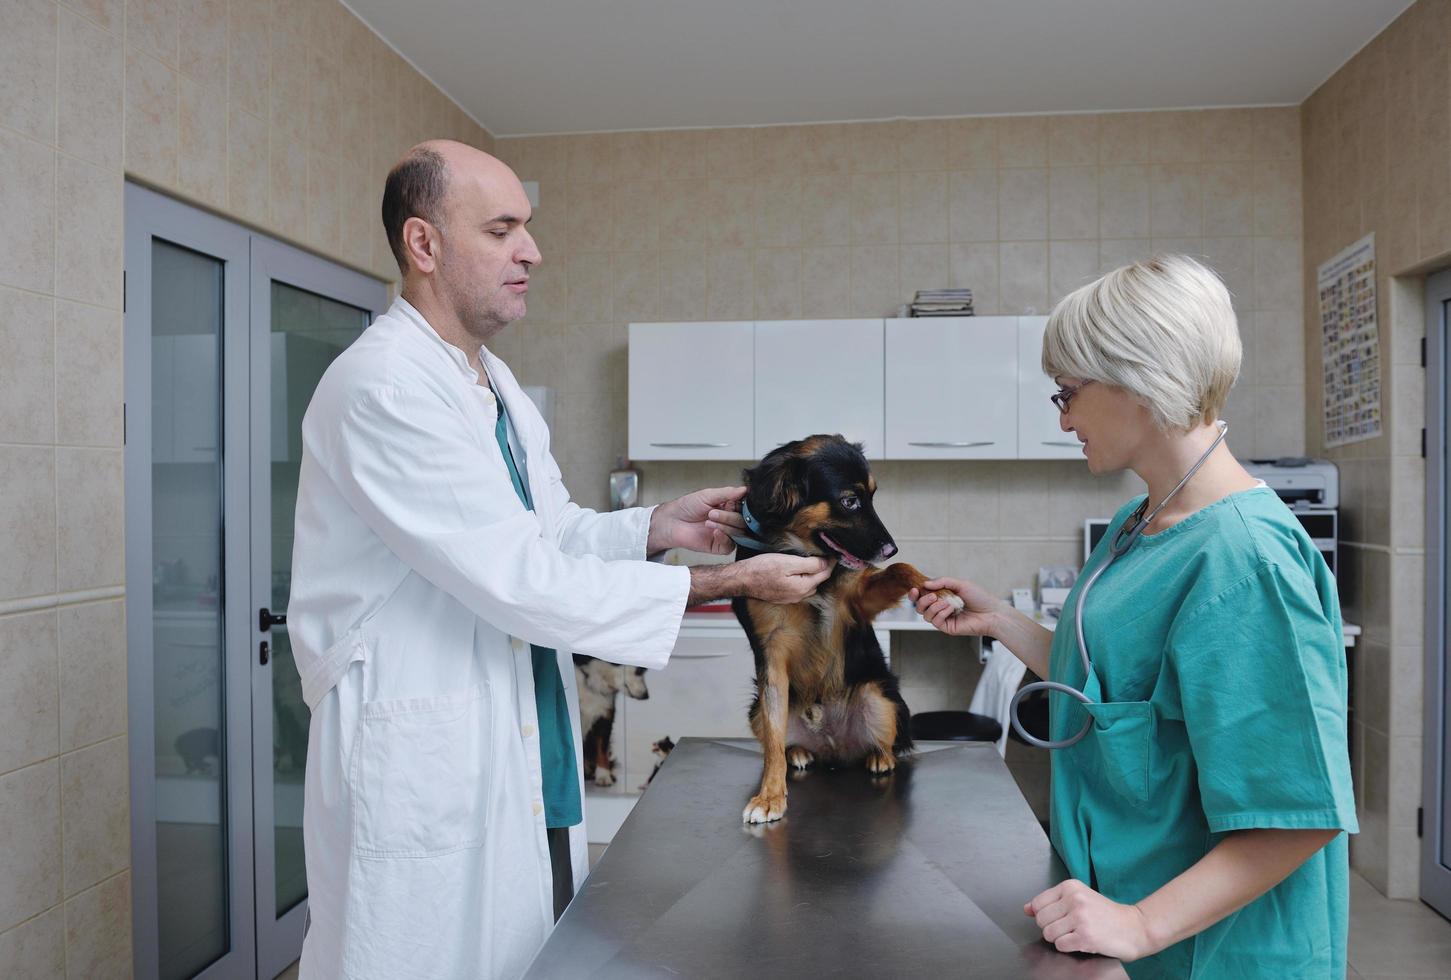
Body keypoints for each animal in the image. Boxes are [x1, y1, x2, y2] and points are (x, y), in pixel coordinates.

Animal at [731, 432, 957, 824]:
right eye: (849, 501)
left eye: (873, 497)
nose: (891, 548)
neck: (800, 553)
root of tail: (833, 747)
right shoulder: (770, 652)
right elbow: (772, 741)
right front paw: (770, 796)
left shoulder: (856, 603)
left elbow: (901, 570)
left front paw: (939, 591)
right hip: (757, 707)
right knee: (781, 737)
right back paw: (798, 752)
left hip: (880, 695)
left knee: (886, 743)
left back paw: (880, 756)